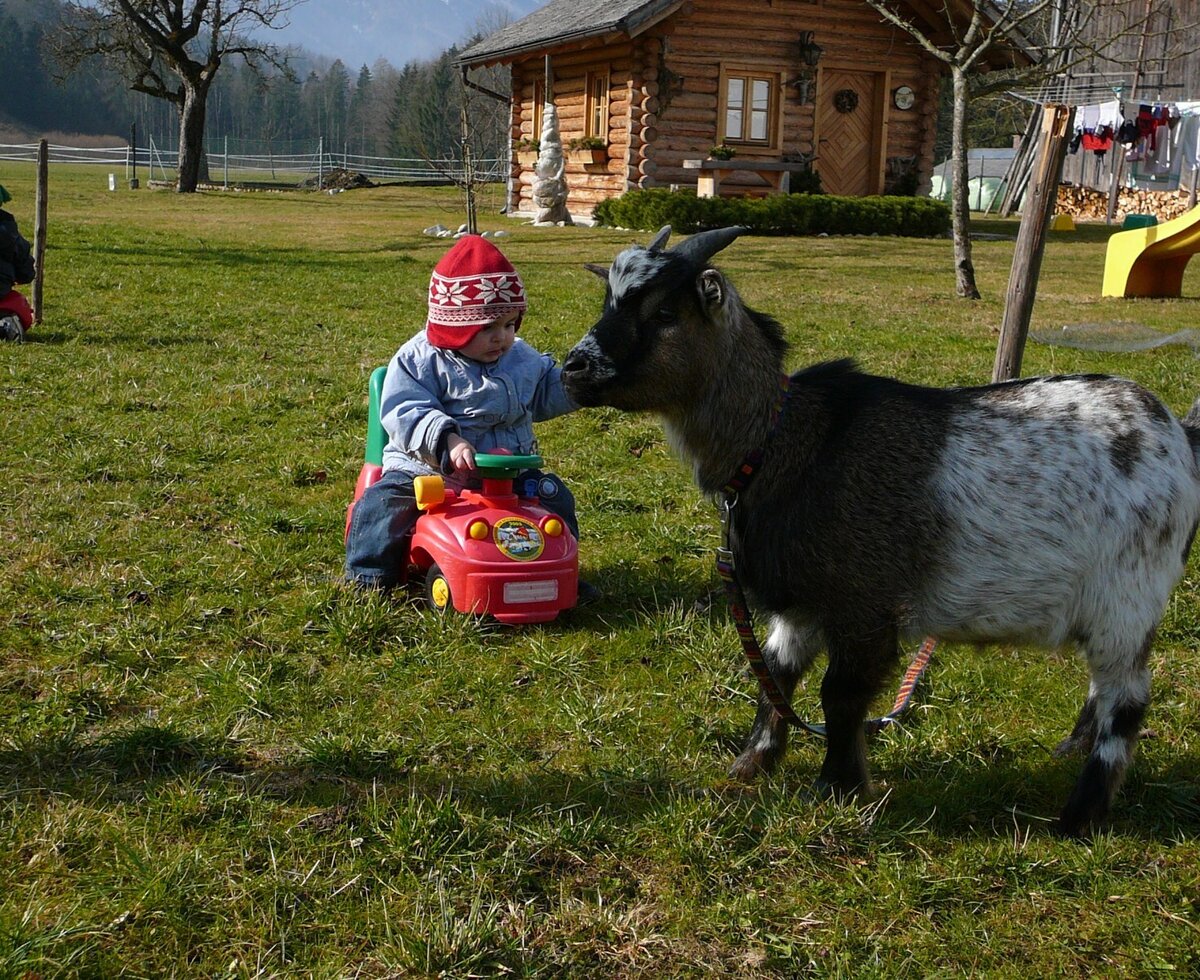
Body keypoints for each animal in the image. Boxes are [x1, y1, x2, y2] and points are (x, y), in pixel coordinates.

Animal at [562, 225, 1200, 836]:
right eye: (608, 299)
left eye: (665, 313)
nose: (573, 369)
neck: (784, 443)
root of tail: (1176, 434)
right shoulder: (801, 606)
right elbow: (777, 677)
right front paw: (750, 766)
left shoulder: (863, 603)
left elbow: (839, 695)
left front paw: (839, 788)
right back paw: (1070, 750)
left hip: (1129, 597)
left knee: (1127, 700)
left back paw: (1078, 818)